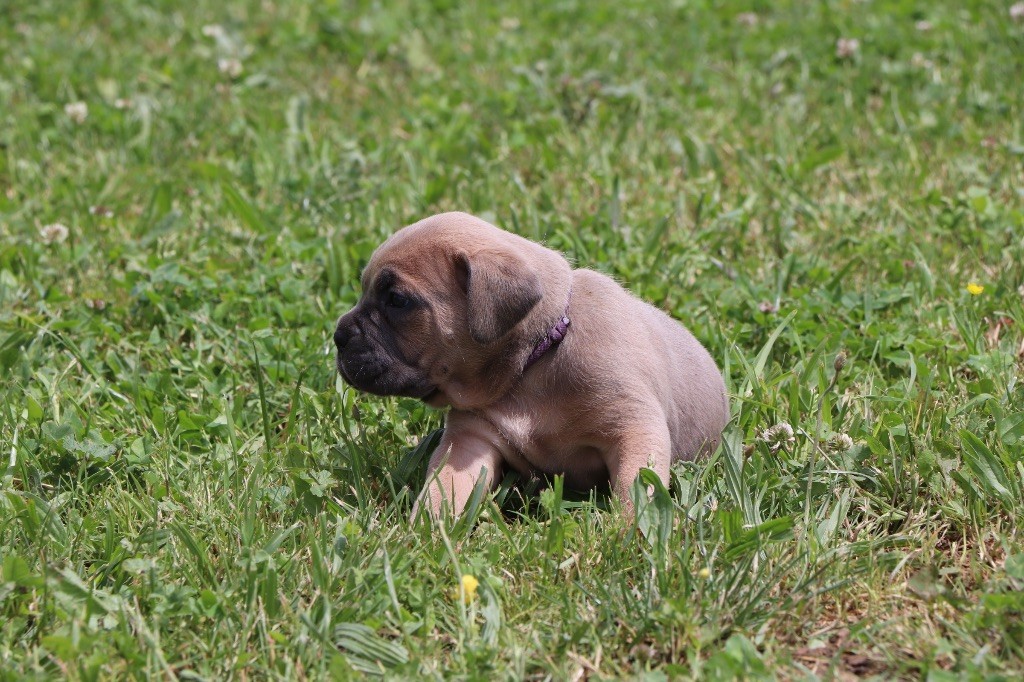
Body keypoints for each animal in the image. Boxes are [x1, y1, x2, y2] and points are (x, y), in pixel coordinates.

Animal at [333, 212, 729, 518]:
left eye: (397, 300)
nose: (338, 336)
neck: (534, 363)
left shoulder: (634, 427)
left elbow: (636, 487)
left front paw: (631, 535)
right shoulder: (470, 439)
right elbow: (443, 488)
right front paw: (425, 531)